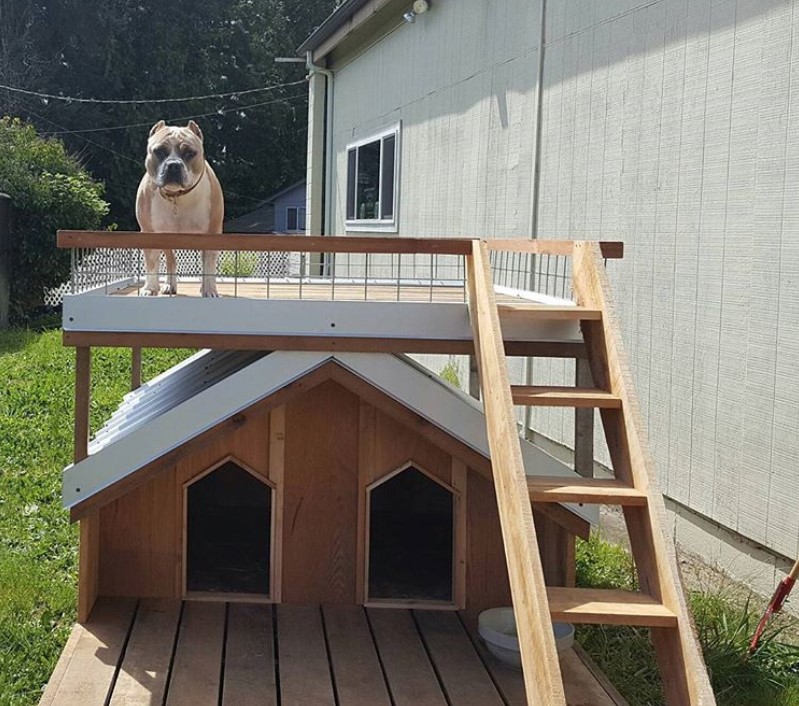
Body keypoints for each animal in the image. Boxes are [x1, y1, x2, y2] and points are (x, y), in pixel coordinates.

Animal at [136, 119, 225, 296]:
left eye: (190, 153)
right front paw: (150, 288)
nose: (173, 165)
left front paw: (209, 290)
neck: (177, 197)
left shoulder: (211, 234)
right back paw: (169, 285)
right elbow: (151, 263)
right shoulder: (149, 234)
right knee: (171, 261)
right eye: (159, 151)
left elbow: (208, 265)